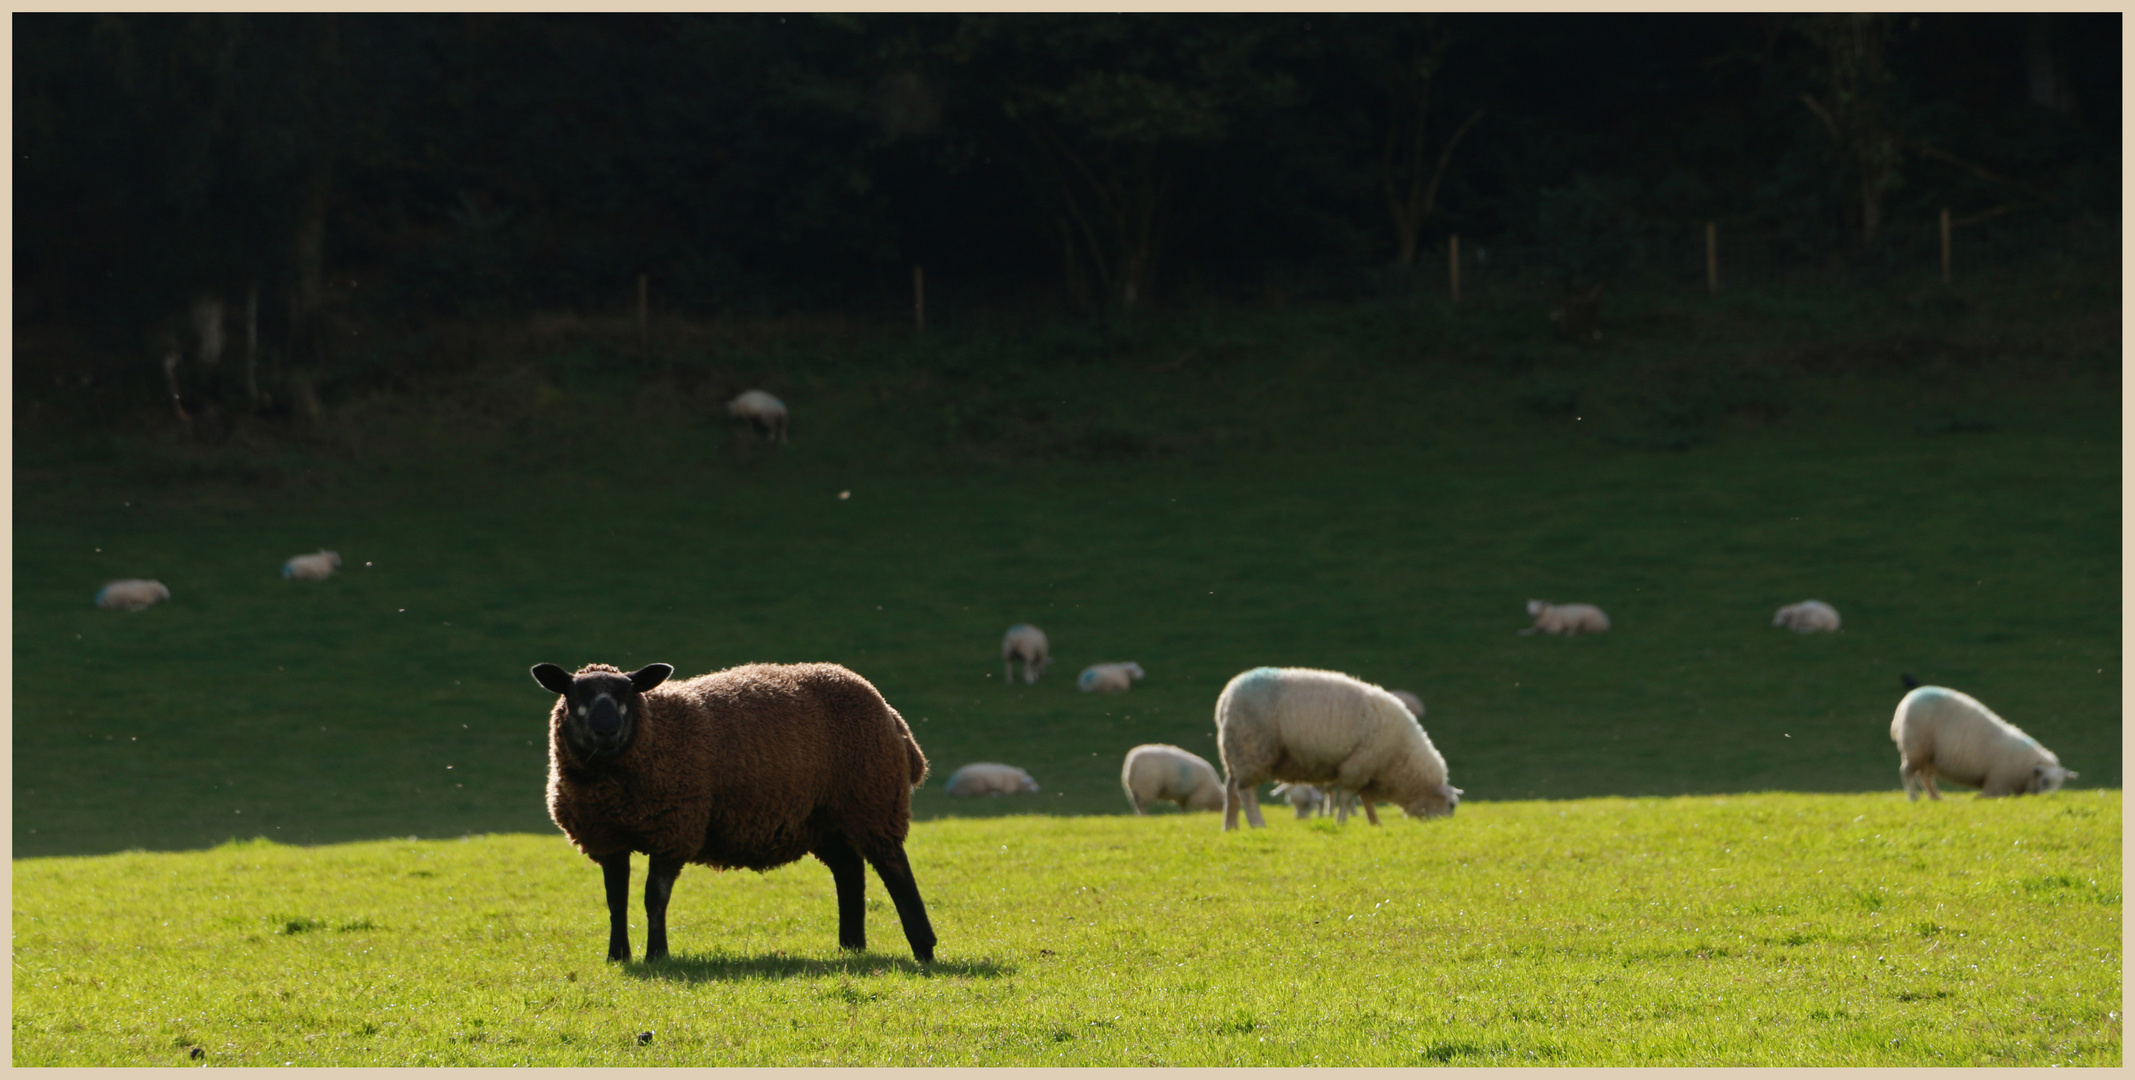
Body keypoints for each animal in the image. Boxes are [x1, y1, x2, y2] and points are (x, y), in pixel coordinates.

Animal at [531, 661, 935, 964]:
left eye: (628, 694)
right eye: (575, 695)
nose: (607, 730)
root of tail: (891, 715)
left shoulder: (675, 830)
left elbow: (653, 898)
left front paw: (657, 955)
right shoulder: (608, 838)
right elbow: (616, 901)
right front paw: (617, 956)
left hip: (872, 800)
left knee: (894, 869)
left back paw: (923, 947)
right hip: (824, 819)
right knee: (849, 872)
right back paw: (850, 947)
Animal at [1212, 661, 1460, 832]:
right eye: (1451, 806)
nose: (1445, 828)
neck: (1401, 760)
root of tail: (1225, 698)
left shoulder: (1367, 769)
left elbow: (1365, 799)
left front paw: (1375, 823)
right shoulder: (1358, 765)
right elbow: (1347, 798)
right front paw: (1342, 822)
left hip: (1234, 753)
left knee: (1231, 789)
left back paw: (1230, 826)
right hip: (1251, 749)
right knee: (1246, 791)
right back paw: (1257, 824)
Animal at [1895, 687, 2075, 798]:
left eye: (2060, 784)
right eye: (2044, 781)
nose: (2048, 797)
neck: (2026, 769)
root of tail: (1905, 702)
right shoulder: (1997, 783)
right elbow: (1986, 796)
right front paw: (1977, 798)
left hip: (1927, 756)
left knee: (1924, 777)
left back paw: (1936, 798)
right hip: (1916, 748)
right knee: (1907, 772)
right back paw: (1914, 797)